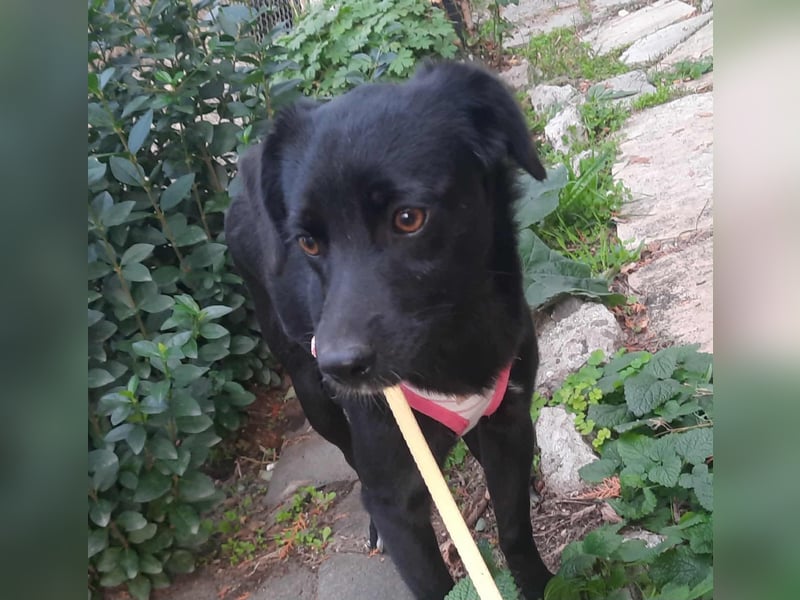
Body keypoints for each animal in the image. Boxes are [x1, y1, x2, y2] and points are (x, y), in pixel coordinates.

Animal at [225, 61, 552, 599]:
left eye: (408, 218)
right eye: (307, 242)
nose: (339, 365)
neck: (455, 339)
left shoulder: (510, 421)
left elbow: (514, 528)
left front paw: (542, 582)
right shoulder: (396, 498)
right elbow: (434, 582)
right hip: (312, 395)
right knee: (348, 452)